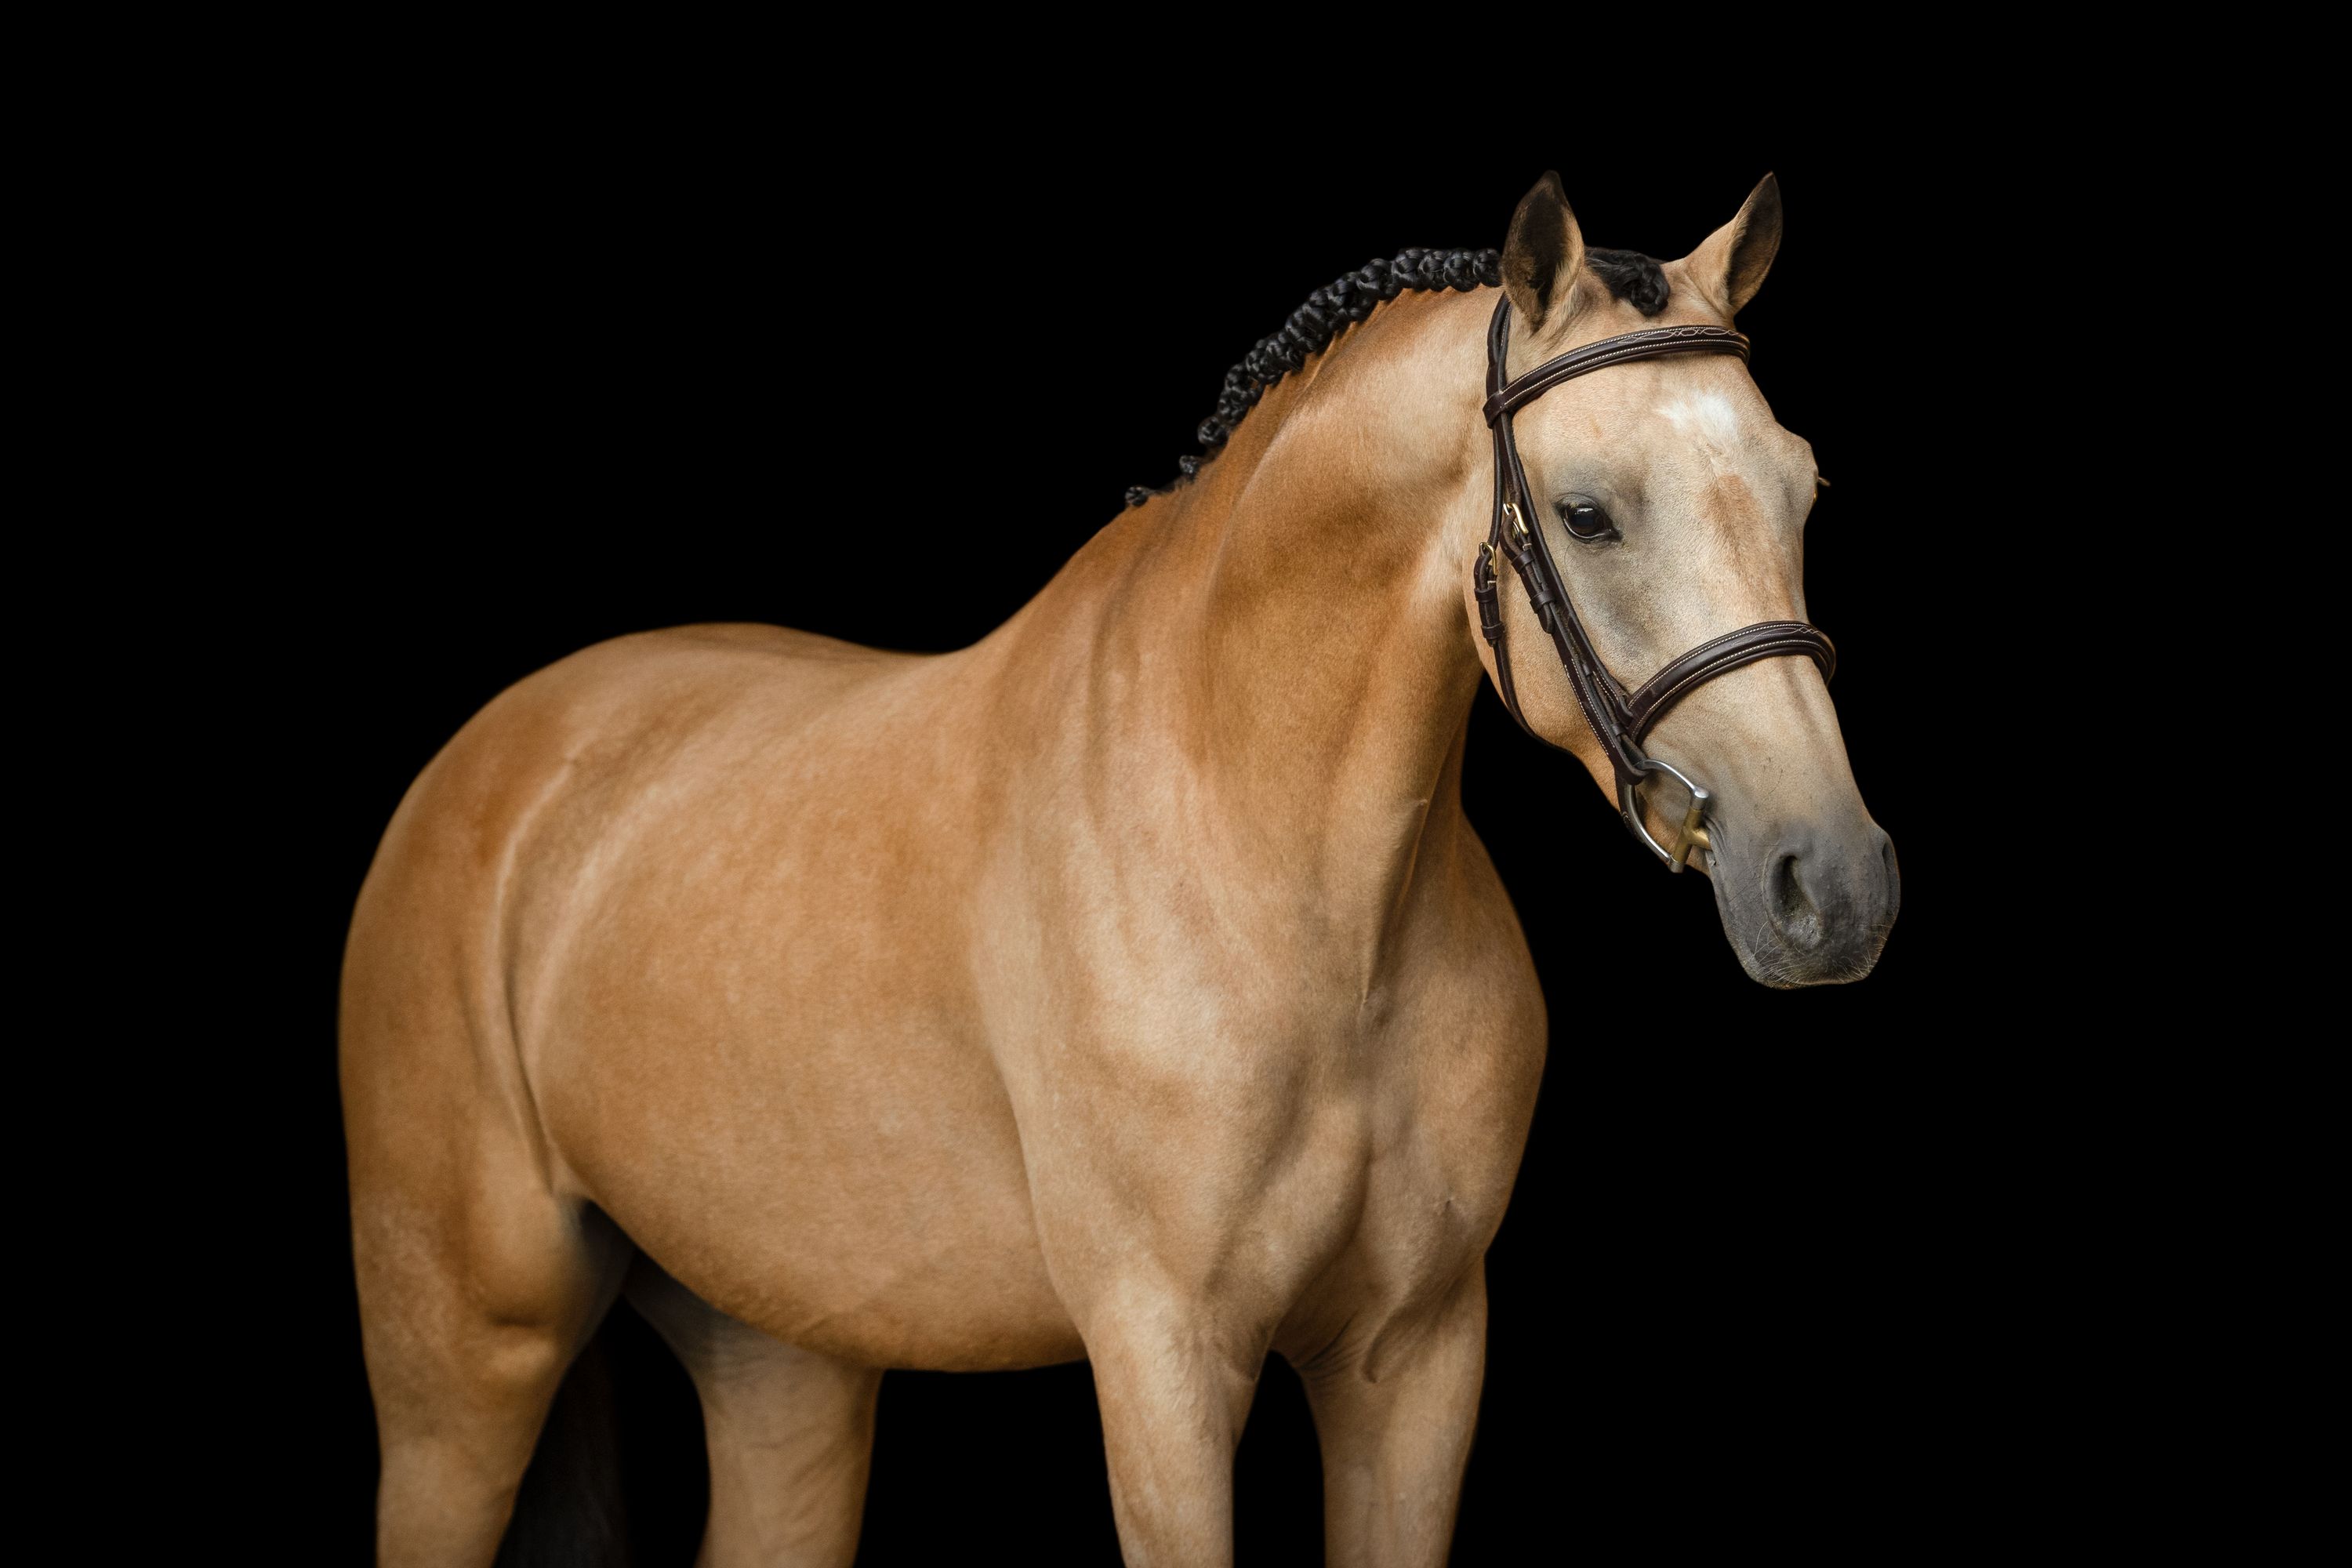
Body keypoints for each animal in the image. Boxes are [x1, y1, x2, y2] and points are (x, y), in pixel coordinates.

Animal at [340, 170, 1899, 1567]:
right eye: (1585, 513)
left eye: (1803, 487)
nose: (1833, 887)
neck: (1280, 884)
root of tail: (503, 754)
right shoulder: (1164, 1363)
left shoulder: (1418, 1357)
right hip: (462, 1376)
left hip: (781, 1359)